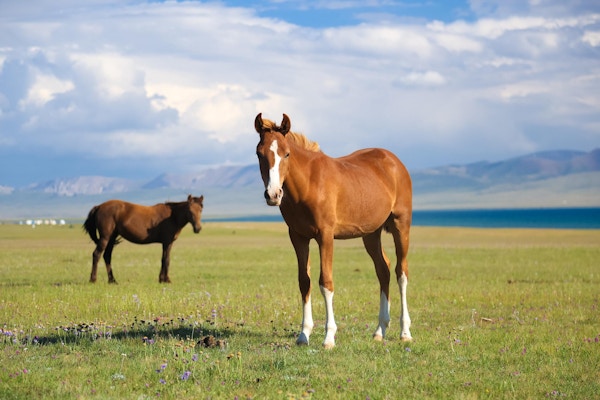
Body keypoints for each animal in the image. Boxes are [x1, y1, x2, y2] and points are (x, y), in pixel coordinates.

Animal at [253, 112, 412, 346]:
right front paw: (303, 335)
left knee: (401, 272)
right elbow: (305, 282)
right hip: (370, 234)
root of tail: (395, 162)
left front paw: (329, 337)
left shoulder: (325, 236)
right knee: (383, 270)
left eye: (287, 153)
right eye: (259, 154)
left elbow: (326, 282)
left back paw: (405, 332)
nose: (273, 194)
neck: (308, 184)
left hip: (402, 225)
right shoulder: (298, 237)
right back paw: (379, 330)